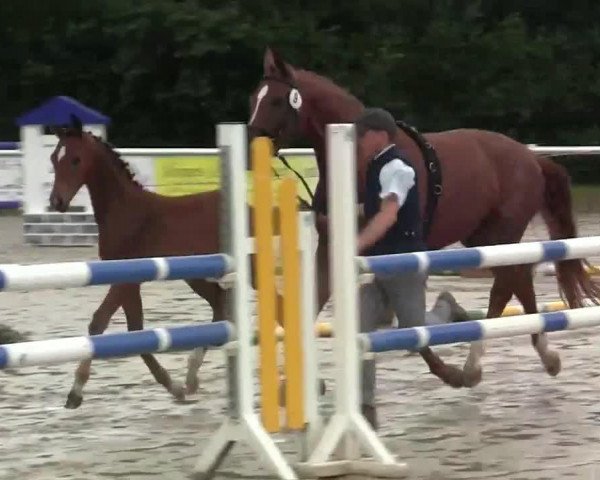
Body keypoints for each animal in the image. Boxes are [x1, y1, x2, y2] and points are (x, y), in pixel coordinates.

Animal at [47, 116, 286, 408]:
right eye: (54, 158)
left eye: (76, 160)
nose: (56, 202)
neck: (125, 212)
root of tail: (251, 209)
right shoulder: (128, 281)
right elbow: (135, 330)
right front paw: (174, 387)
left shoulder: (125, 280)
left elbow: (100, 322)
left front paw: (76, 391)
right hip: (201, 278)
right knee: (220, 313)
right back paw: (191, 377)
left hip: (248, 270)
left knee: (275, 304)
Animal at [247, 47, 600, 388]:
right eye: (254, 100)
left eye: (277, 100)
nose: (253, 148)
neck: (358, 160)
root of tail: (530, 157)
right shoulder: (330, 250)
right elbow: (311, 305)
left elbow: (411, 325)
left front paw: (448, 373)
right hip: (485, 238)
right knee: (518, 280)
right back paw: (537, 355)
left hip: (503, 235)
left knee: (506, 285)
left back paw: (478, 365)